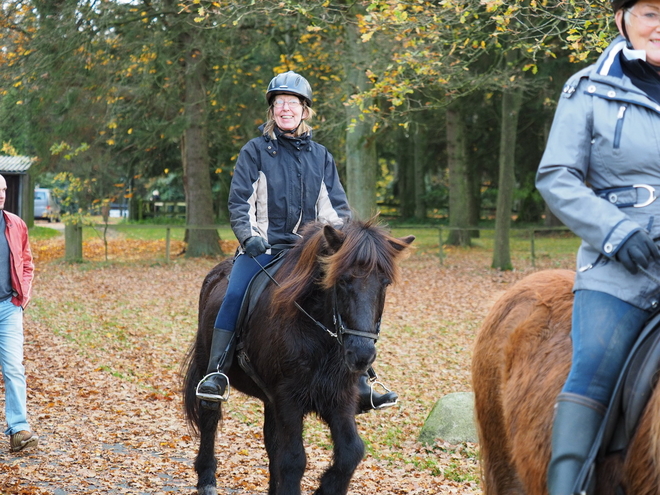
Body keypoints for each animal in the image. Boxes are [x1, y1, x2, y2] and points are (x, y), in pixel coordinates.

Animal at [182, 220, 412, 495]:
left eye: (384, 283)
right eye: (342, 280)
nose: (362, 355)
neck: (318, 334)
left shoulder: (339, 398)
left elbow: (350, 453)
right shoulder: (289, 399)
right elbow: (293, 459)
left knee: (271, 442)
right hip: (209, 367)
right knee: (210, 419)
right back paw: (207, 480)